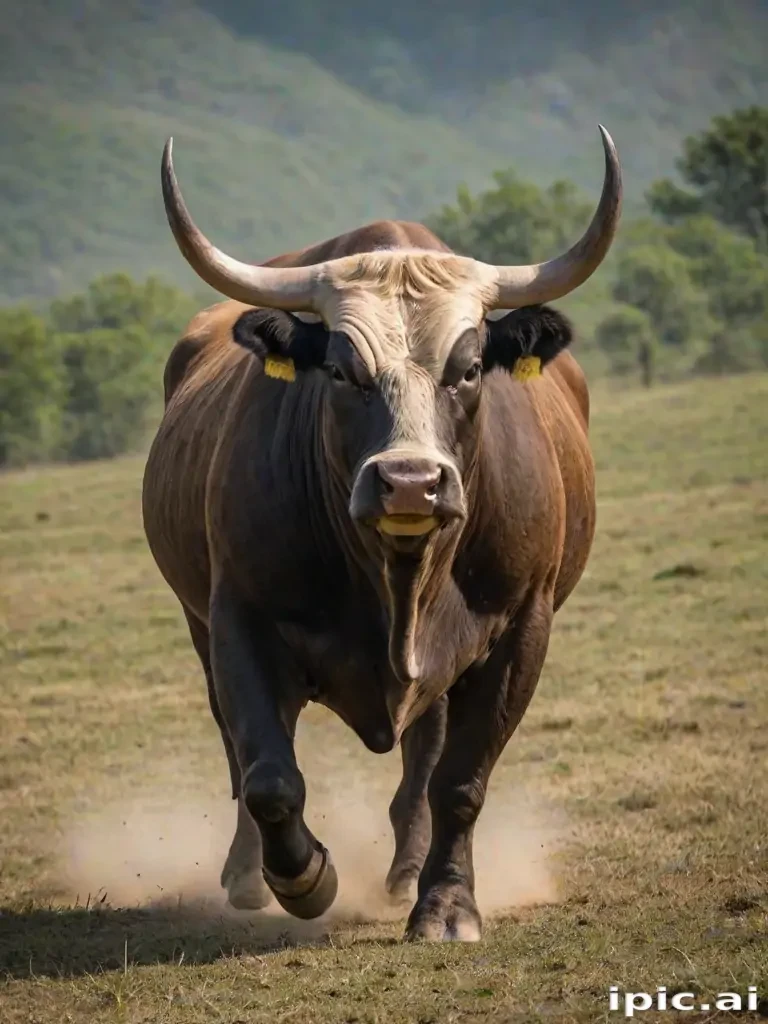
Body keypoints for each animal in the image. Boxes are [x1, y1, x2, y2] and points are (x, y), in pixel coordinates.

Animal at [141, 126, 622, 941]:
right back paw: (247, 876)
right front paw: (303, 877)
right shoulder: (238, 618)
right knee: (241, 756)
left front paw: (447, 906)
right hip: (199, 625)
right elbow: (267, 775)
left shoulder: (521, 630)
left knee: (423, 760)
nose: (410, 482)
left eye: (469, 368)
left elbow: (459, 781)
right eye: (341, 370)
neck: (396, 573)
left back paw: (405, 875)